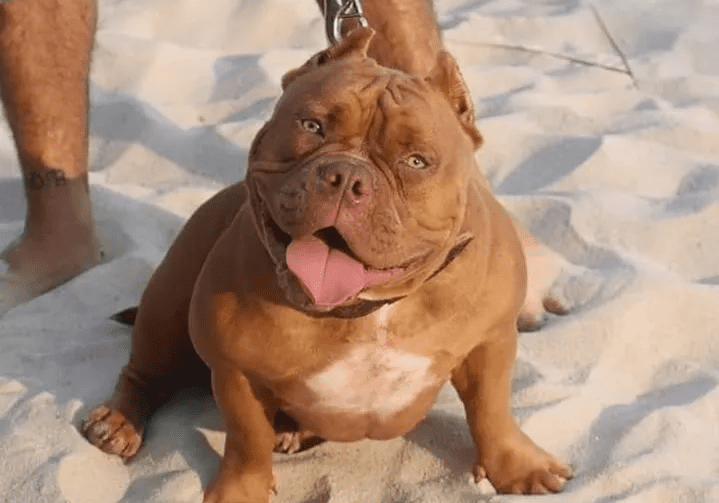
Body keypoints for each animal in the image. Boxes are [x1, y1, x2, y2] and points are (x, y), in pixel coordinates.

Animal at [81, 28, 572, 503]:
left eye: (416, 161)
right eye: (312, 126)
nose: (346, 177)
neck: (370, 308)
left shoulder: (491, 341)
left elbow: (492, 410)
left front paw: (518, 467)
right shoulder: (236, 371)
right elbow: (247, 440)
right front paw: (241, 490)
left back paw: (295, 432)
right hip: (168, 302)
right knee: (145, 369)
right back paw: (117, 423)